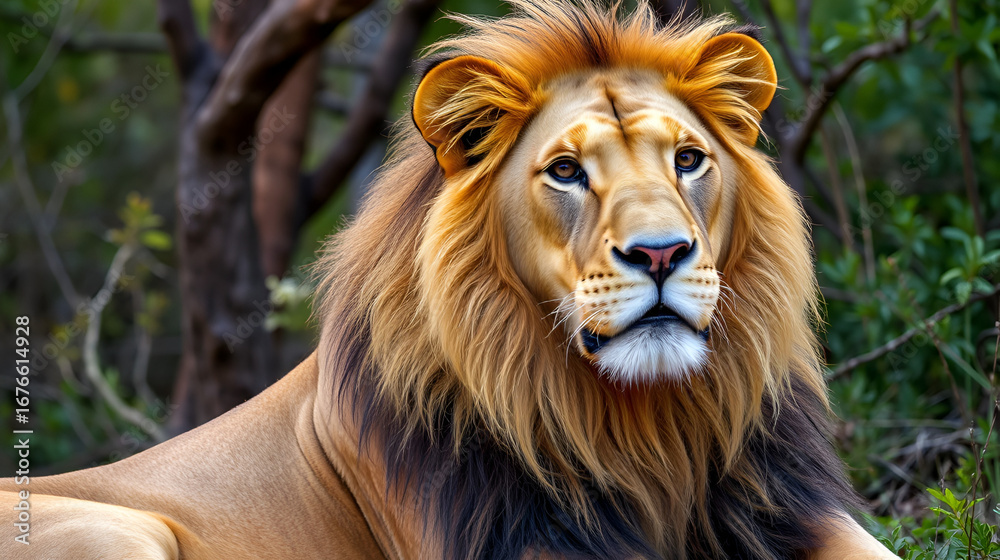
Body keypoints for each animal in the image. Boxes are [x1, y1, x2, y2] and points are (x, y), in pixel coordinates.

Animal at [2, 1, 895, 558]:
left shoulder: (788, 511)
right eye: (566, 171)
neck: (648, 432)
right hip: (120, 534)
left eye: (688, 159)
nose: (661, 254)